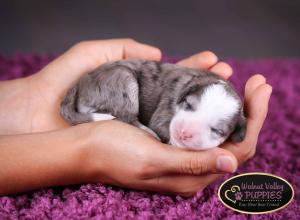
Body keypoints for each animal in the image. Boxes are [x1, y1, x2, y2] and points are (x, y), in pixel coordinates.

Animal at [61, 59, 246, 150]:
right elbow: (159, 125)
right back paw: (147, 131)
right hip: (124, 79)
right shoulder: (164, 110)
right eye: (188, 105)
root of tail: (81, 82)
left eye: (217, 131)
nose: (183, 133)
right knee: (126, 117)